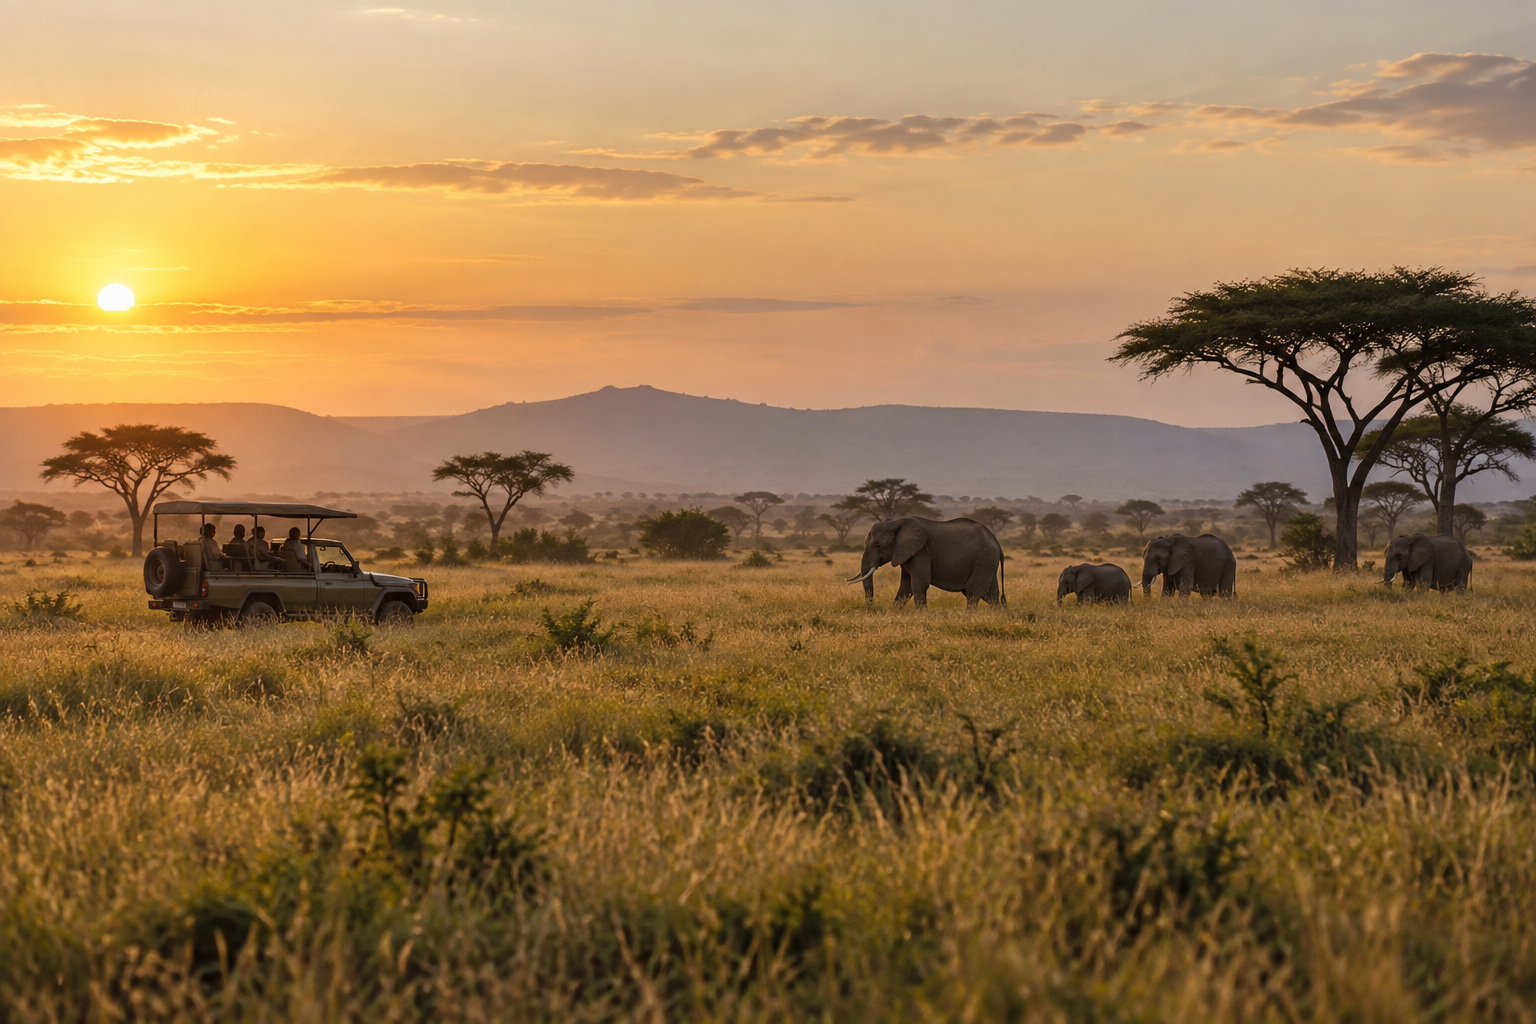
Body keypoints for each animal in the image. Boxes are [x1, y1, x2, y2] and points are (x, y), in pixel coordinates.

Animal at [848, 517, 1005, 609]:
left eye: (878, 545)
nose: (869, 608)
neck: (896, 522)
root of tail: (997, 543)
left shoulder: (921, 551)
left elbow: (920, 584)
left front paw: (922, 616)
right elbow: (906, 587)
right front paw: (894, 613)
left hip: (983, 560)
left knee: (973, 592)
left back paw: (968, 617)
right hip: (987, 562)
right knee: (990, 595)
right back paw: (1000, 616)